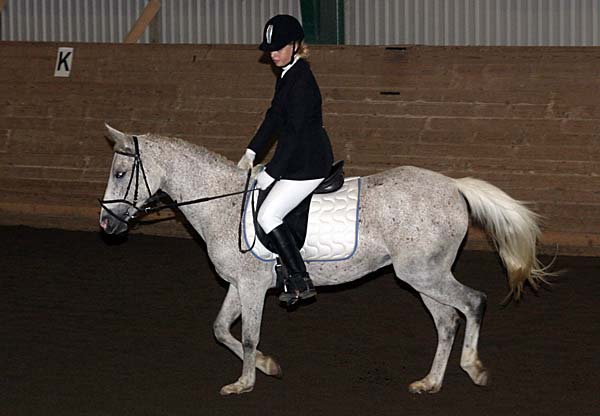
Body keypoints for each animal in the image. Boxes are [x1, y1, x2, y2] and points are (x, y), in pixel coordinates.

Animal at [99, 124, 550, 395]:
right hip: (423, 276)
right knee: (447, 322)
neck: (222, 203)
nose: (106, 223)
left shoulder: (252, 286)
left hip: (423, 273)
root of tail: (454, 186)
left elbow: (248, 335)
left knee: (472, 303)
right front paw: (267, 367)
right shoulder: (239, 284)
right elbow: (221, 329)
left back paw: (474, 368)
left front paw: (244, 383)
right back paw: (429, 383)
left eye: (120, 175)